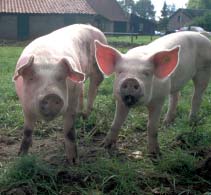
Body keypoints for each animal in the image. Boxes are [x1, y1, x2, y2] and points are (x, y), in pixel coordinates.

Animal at [12, 24, 107, 165]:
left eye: (61, 78)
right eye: (32, 78)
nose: (51, 95)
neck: (46, 59)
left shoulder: (71, 103)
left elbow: (69, 131)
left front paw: (73, 162)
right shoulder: (25, 105)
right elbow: (27, 131)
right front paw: (21, 156)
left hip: (97, 68)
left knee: (94, 85)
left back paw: (85, 115)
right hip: (81, 79)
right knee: (83, 88)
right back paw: (81, 113)